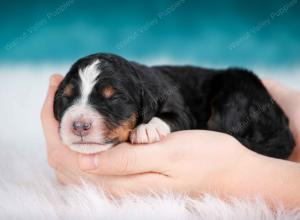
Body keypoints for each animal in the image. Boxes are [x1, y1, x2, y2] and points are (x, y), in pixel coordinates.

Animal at [52, 52, 294, 158]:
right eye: (66, 97)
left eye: (114, 98)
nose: (79, 125)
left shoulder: (182, 110)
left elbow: (171, 117)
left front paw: (147, 129)